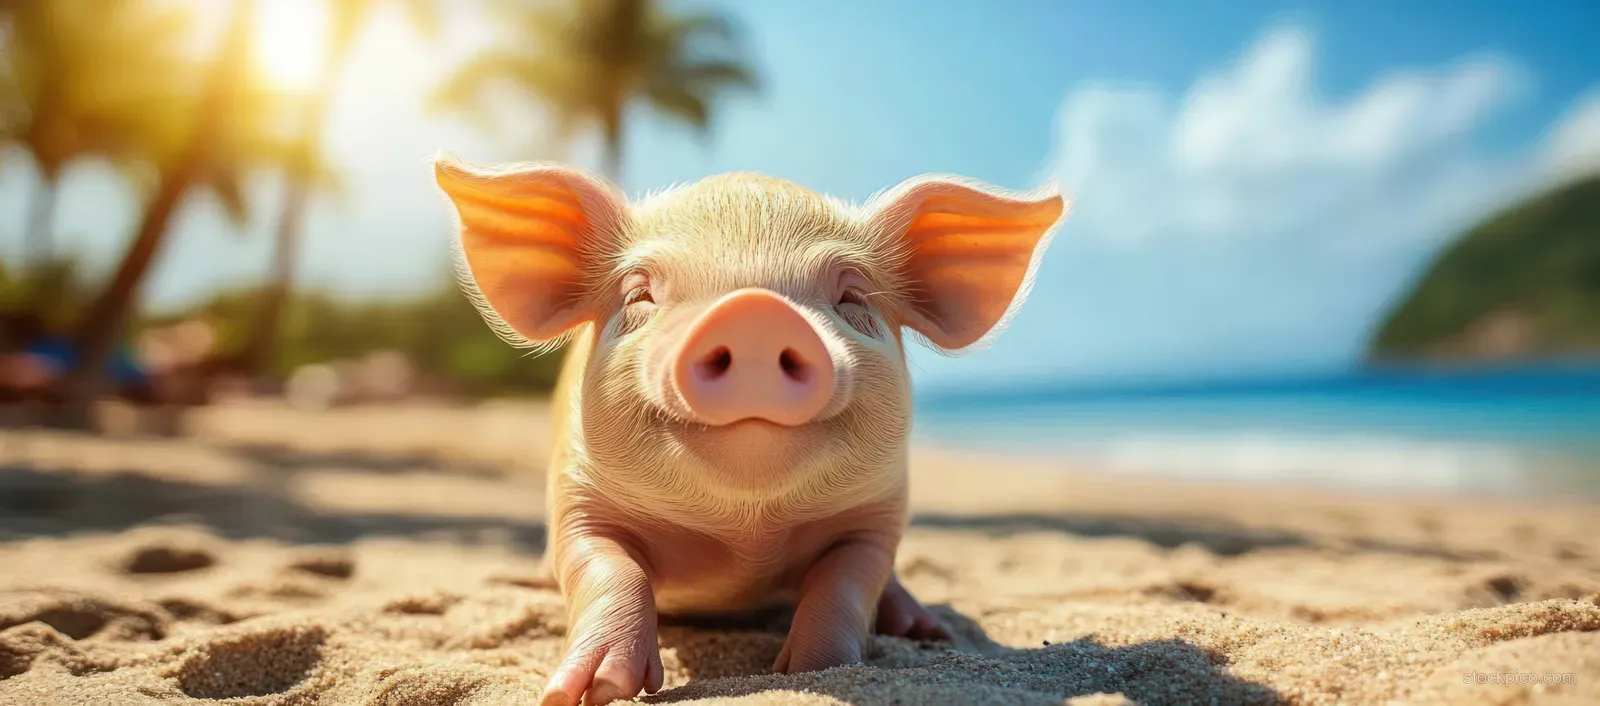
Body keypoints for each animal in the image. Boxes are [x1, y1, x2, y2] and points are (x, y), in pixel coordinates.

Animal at [433, 155, 1070, 706]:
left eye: (851, 294)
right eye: (640, 292)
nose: (755, 312)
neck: (746, 534)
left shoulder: (878, 516)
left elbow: (847, 583)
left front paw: (817, 672)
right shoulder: (576, 499)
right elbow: (608, 568)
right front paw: (585, 693)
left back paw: (925, 629)